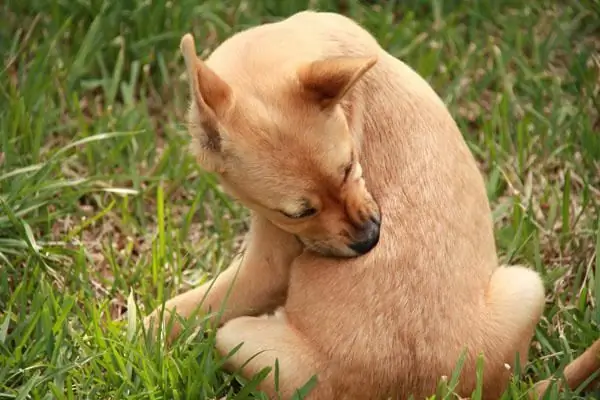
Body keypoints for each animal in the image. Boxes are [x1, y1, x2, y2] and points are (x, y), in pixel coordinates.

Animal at [145, 10, 600, 400]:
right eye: (300, 212)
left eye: (349, 167)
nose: (370, 241)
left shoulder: (267, 267)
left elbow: (180, 310)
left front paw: (137, 333)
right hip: (526, 289)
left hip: (236, 337)